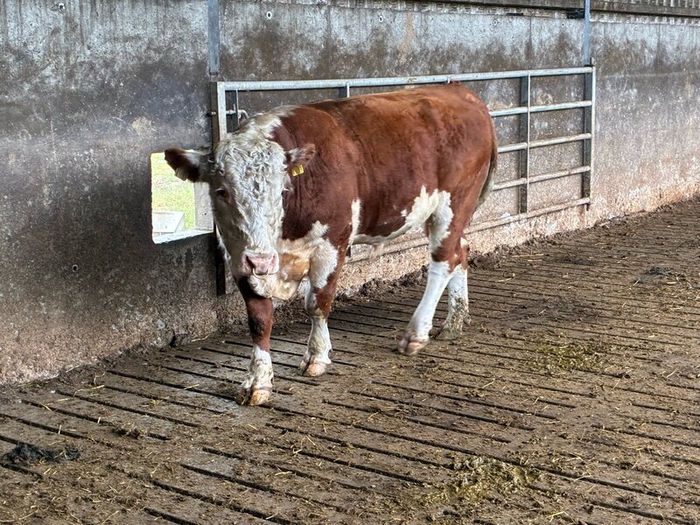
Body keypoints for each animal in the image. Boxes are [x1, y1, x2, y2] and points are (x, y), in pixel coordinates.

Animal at [165, 83, 497, 405]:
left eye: (282, 190)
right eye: (222, 192)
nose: (262, 262)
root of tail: (460, 92)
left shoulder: (332, 242)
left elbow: (318, 302)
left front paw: (317, 356)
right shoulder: (238, 255)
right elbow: (258, 319)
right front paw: (257, 381)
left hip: (453, 204)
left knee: (443, 261)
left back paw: (416, 333)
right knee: (461, 252)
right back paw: (454, 322)